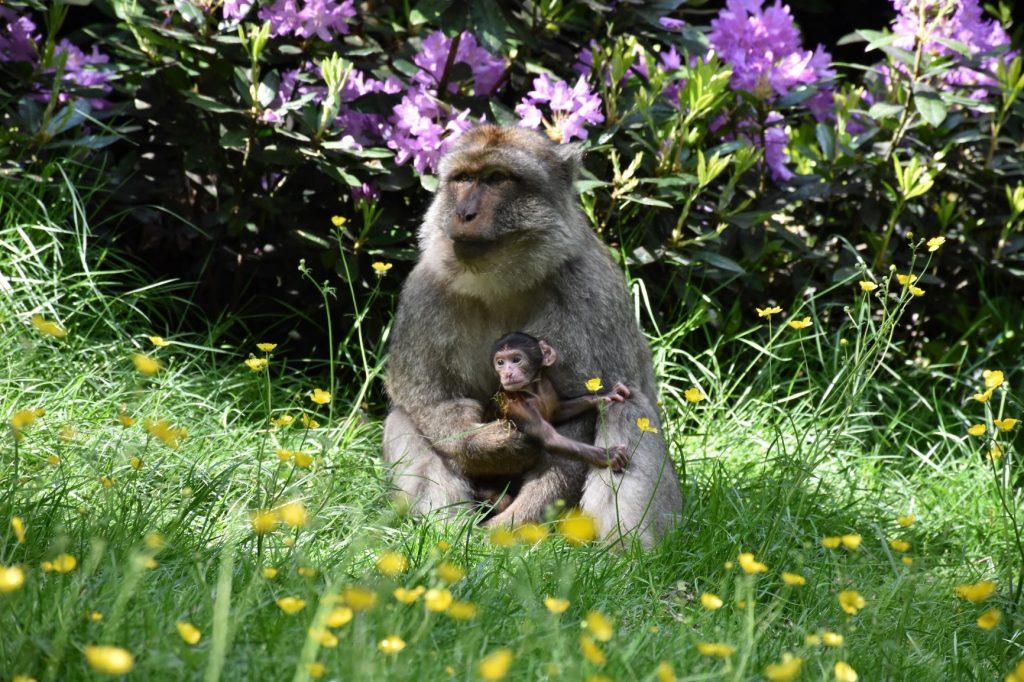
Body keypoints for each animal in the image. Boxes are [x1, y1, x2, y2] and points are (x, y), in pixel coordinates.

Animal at [488, 332, 631, 472]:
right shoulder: (515, 406)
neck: (532, 391)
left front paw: (601, 397)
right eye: (500, 362)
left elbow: (558, 411)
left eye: (516, 360)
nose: (507, 373)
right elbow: (551, 439)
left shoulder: (547, 387)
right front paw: (609, 455)